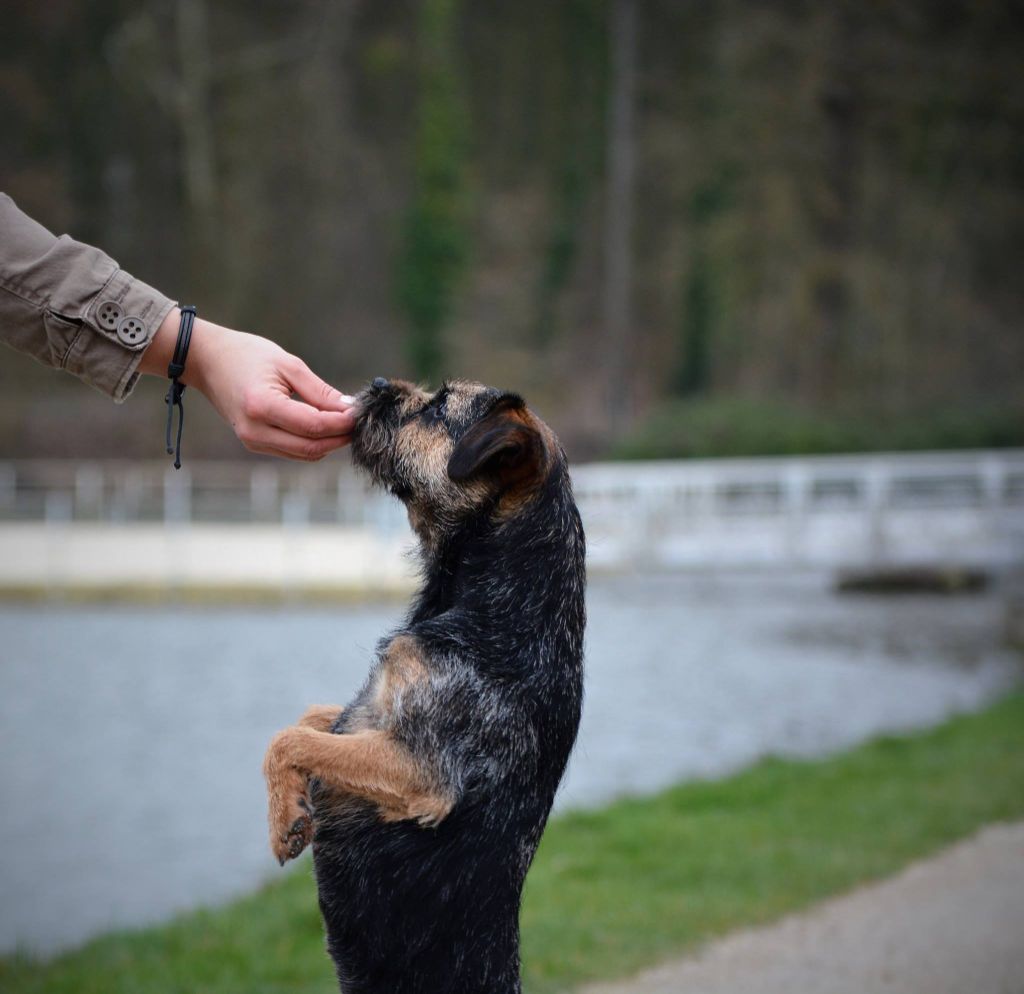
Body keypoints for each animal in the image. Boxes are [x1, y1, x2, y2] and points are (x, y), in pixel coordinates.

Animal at [260, 378, 589, 994]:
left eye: (438, 407)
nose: (377, 385)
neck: (505, 603)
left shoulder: (421, 770)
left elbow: (288, 739)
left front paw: (284, 823)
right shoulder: (366, 714)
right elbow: (312, 720)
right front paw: (285, 804)